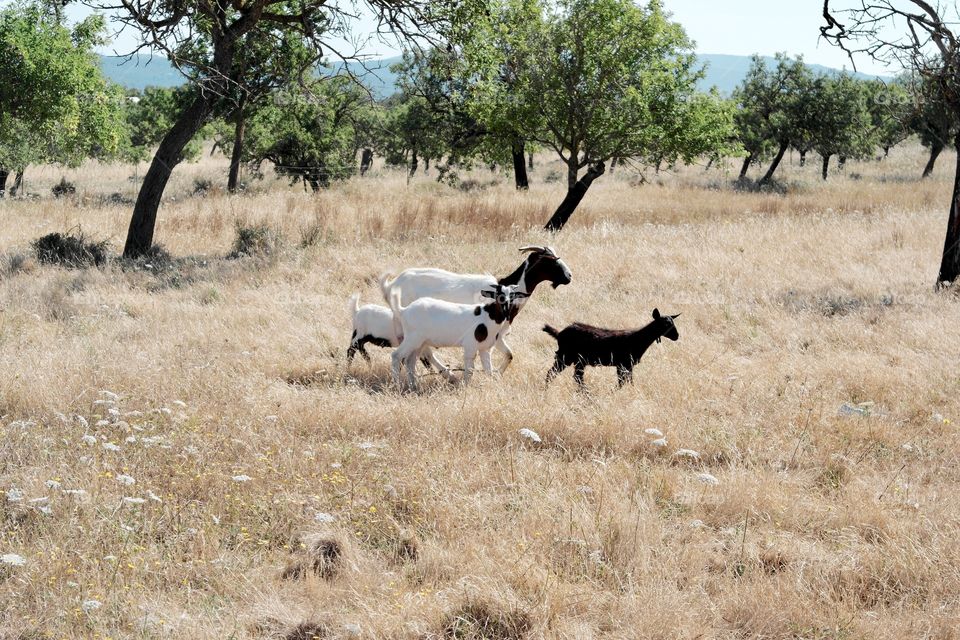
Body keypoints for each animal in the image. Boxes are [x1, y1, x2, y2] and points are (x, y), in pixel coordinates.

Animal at [380, 245, 571, 374]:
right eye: (550, 261)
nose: (569, 276)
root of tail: (391, 286)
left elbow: (510, 355)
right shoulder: (494, 334)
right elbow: (502, 356)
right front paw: (496, 373)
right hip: (417, 330)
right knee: (424, 352)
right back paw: (447, 374)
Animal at [389, 284, 529, 389]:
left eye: (512, 295)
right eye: (498, 294)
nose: (506, 305)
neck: (489, 316)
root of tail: (403, 310)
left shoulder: (485, 349)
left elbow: (488, 370)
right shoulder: (470, 346)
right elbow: (470, 369)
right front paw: (464, 386)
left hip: (420, 343)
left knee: (410, 361)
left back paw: (414, 386)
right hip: (412, 339)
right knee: (396, 356)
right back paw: (397, 386)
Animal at [543, 309, 681, 388]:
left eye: (673, 322)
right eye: (665, 324)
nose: (676, 336)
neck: (638, 339)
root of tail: (559, 333)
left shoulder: (628, 366)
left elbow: (628, 382)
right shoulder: (623, 364)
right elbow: (622, 383)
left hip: (578, 361)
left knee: (576, 377)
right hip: (565, 356)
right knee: (553, 373)